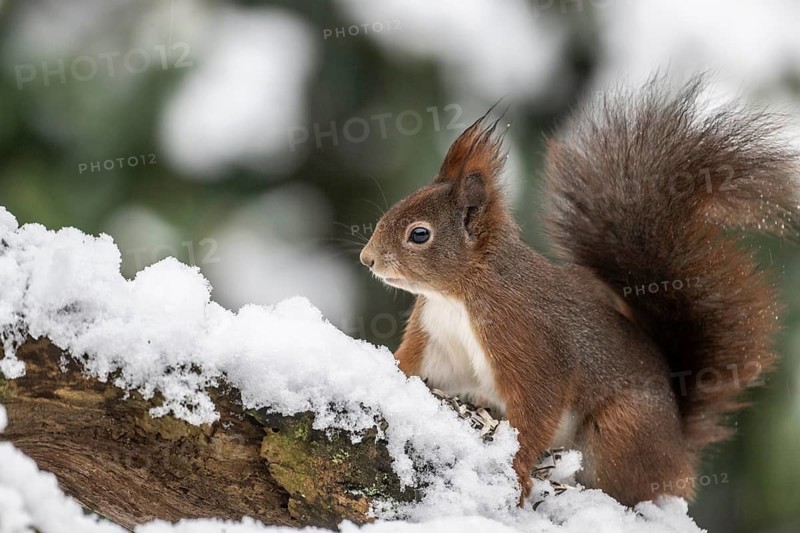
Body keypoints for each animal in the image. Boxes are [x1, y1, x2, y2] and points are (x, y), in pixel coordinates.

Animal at [359, 77, 800, 507]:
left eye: (419, 234)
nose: (367, 259)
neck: (457, 297)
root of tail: (677, 447)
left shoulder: (529, 341)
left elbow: (537, 407)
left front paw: (518, 469)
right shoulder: (435, 334)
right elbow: (414, 364)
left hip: (621, 429)